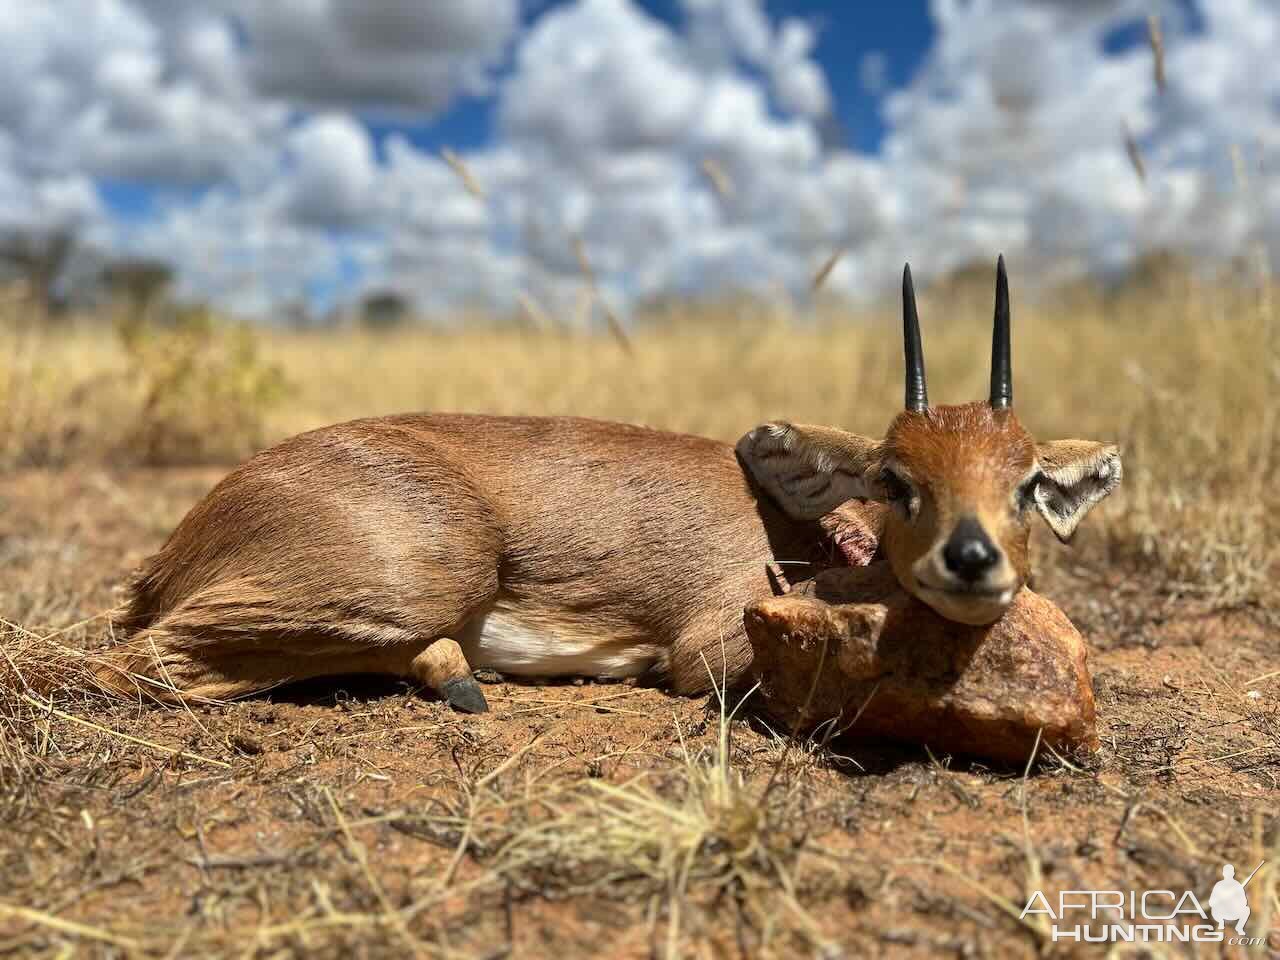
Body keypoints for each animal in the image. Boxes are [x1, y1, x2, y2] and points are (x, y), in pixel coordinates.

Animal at [102, 257, 1121, 716]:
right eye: (894, 476)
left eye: (1028, 482)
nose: (971, 559)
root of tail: (188, 536)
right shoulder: (706, 649)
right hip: (411, 582)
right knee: (136, 659)